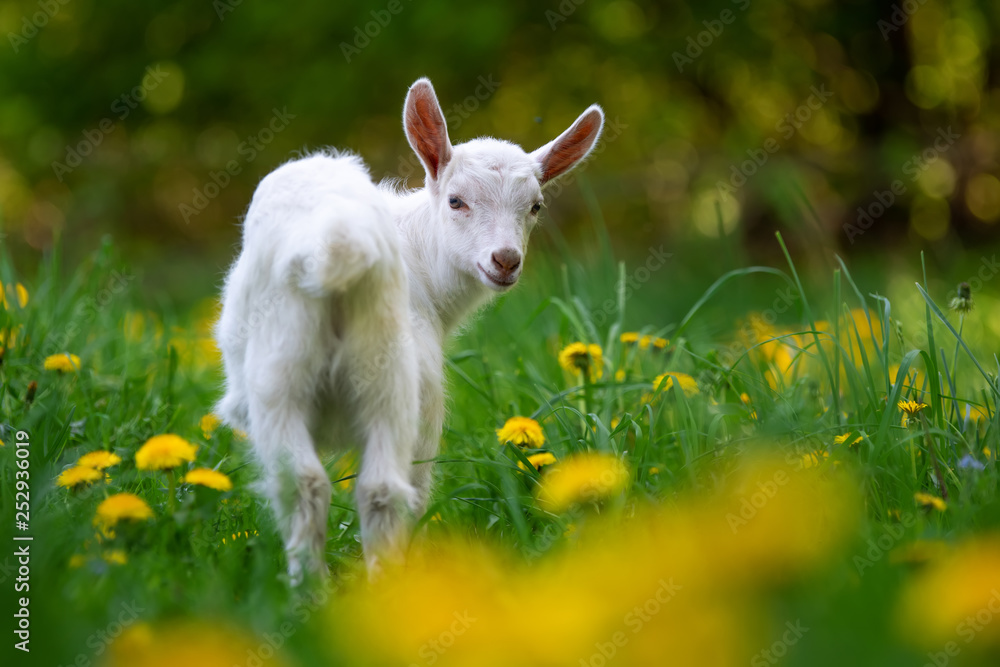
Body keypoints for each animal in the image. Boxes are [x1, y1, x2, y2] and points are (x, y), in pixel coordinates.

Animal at [215, 75, 600, 580]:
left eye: (535, 206)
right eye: (456, 200)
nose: (506, 260)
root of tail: (337, 245)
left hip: (317, 374)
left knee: (338, 485)